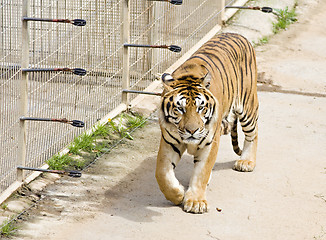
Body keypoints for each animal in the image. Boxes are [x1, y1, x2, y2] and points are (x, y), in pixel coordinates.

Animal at [154, 32, 258, 214]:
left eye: (200, 107)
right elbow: (162, 172)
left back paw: (246, 162)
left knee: (253, 134)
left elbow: (201, 172)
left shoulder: (210, 143)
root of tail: (237, 34)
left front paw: (195, 202)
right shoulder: (169, 142)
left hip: (247, 106)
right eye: (180, 108)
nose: (192, 131)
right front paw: (177, 194)